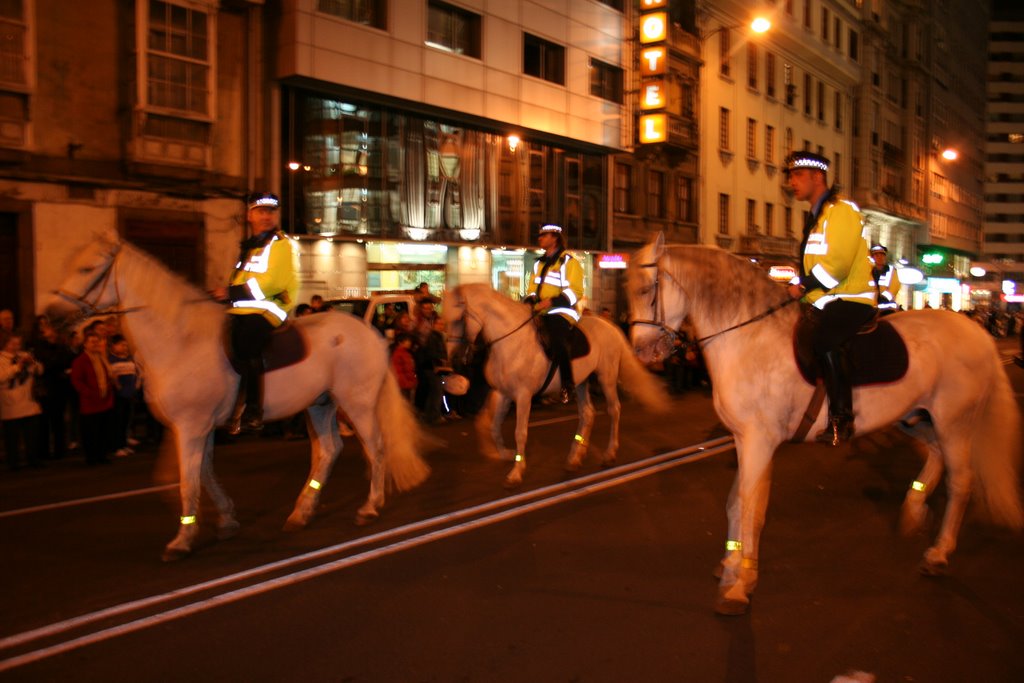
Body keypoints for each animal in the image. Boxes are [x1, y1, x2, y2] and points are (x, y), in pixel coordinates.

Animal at [47, 236, 428, 561]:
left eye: (86, 269)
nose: (49, 318)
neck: (180, 341)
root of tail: (369, 332)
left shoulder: (191, 426)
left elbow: (188, 481)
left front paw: (182, 541)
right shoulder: (194, 428)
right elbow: (201, 474)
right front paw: (226, 520)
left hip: (357, 403)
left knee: (375, 447)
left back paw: (370, 507)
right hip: (320, 404)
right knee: (329, 451)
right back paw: (301, 512)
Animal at [442, 286, 667, 489]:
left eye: (458, 319)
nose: (453, 359)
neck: (511, 340)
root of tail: (610, 325)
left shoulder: (523, 396)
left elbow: (520, 432)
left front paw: (516, 472)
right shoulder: (502, 392)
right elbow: (492, 424)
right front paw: (503, 453)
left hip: (607, 377)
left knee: (614, 410)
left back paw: (609, 454)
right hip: (581, 382)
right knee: (588, 413)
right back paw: (575, 457)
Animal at [626, 233, 1019, 614]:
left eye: (647, 290)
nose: (643, 353)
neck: (749, 338)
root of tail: (977, 332)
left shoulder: (759, 441)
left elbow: (751, 506)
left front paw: (740, 585)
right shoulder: (744, 439)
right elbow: (737, 503)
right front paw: (730, 567)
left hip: (955, 423)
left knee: (961, 481)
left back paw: (938, 553)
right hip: (916, 419)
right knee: (936, 456)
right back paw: (914, 510)